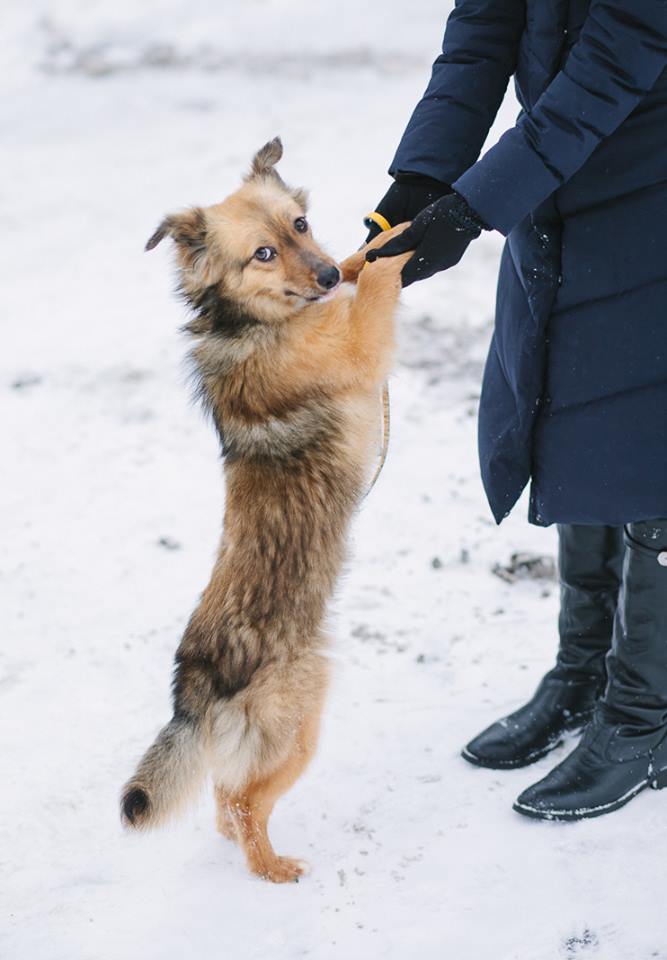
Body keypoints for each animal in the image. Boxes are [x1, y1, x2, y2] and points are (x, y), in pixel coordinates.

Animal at [121, 137, 412, 884]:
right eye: (262, 253)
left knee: (225, 796)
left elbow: (362, 273)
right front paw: (400, 238)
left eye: (300, 226)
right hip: (297, 724)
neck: (256, 323)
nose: (324, 271)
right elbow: (377, 286)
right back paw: (273, 869)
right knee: (245, 801)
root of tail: (194, 682)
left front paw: (364, 251)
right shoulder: (361, 347)